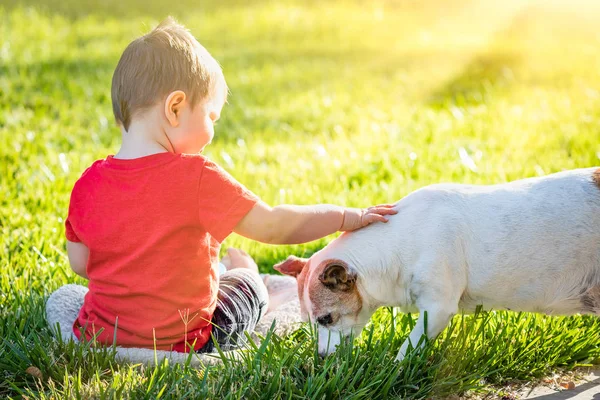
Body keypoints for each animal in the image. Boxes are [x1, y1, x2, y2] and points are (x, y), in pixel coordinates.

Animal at [274, 167, 600, 360]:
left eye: (326, 319)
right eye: (308, 323)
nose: (320, 358)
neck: (398, 243)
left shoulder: (437, 309)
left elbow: (408, 348)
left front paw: (394, 371)